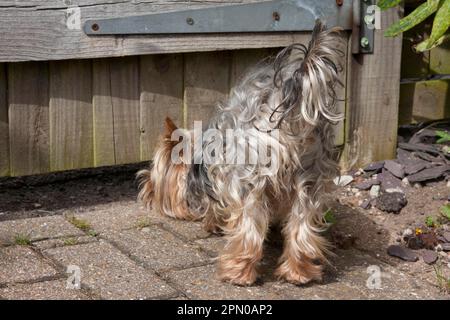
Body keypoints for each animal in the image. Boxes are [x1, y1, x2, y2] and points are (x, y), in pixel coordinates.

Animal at [137, 20, 342, 284]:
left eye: (154, 177)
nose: (145, 188)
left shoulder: (222, 181)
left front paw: (212, 224)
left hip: (250, 175)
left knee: (249, 227)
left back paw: (238, 272)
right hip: (311, 174)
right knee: (302, 222)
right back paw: (298, 272)